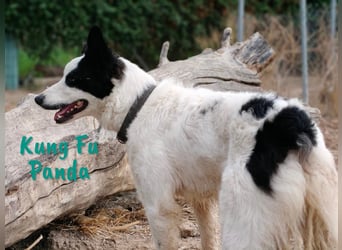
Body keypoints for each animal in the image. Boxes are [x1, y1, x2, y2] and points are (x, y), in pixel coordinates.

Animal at [34, 26, 336, 249]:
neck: (138, 105)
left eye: (73, 80)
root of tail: (290, 122)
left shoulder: (158, 206)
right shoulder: (201, 202)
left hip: (242, 217)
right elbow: (208, 240)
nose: (38, 98)